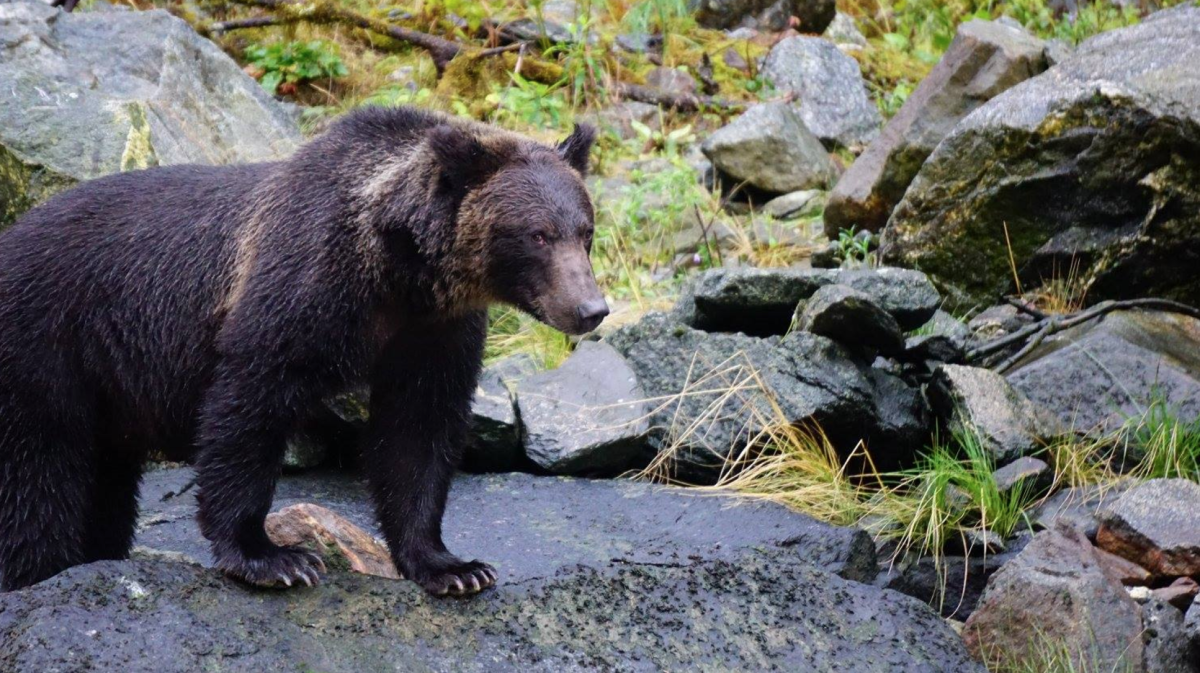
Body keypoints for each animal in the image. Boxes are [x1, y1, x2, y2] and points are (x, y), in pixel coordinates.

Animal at [0, 104, 604, 592]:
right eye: (538, 235)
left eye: (586, 232)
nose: (591, 309)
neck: (395, 270)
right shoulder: (300, 286)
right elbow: (250, 405)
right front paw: (273, 558)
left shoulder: (433, 331)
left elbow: (419, 431)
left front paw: (453, 567)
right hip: (47, 347)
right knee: (38, 480)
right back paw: (41, 569)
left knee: (105, 484)